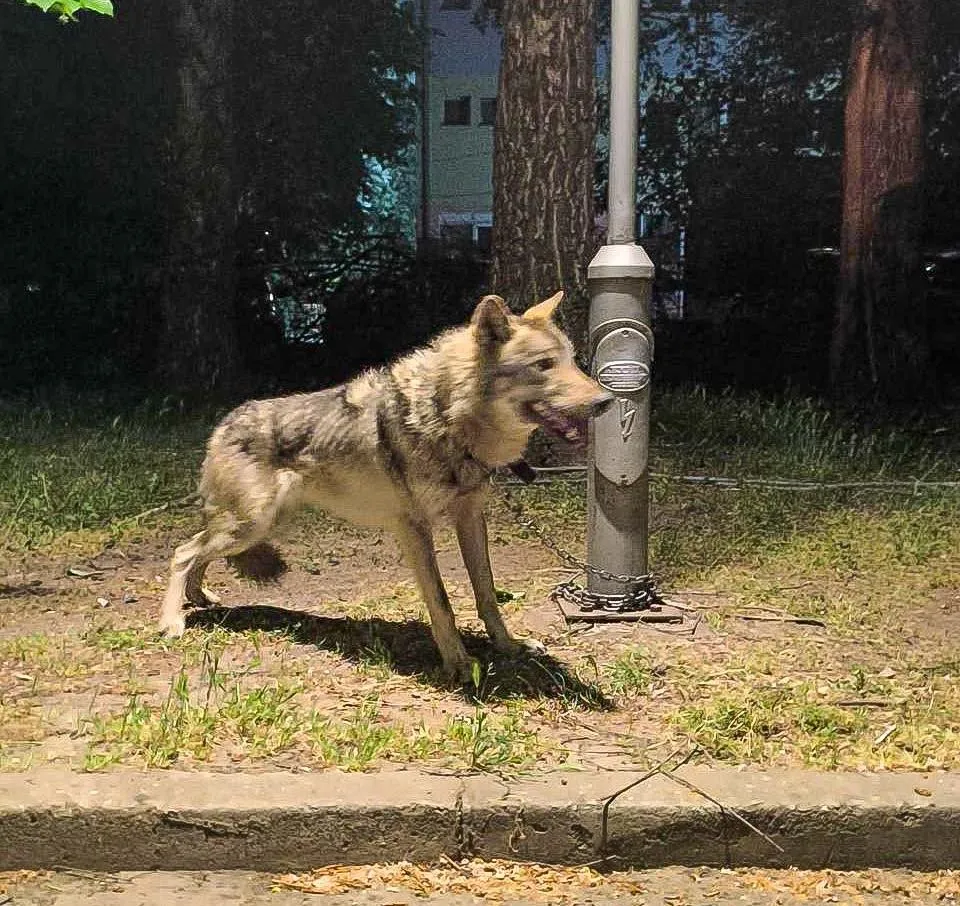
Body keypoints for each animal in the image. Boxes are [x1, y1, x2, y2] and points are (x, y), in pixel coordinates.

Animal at [159, 291, 613, 680]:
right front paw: (459, 665)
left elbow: (486, 593)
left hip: (259, 526)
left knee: (197, 550)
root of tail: (223, 423)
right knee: (183, 551)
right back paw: (172, 621)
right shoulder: (413, 528)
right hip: (252, 525)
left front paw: (509, 647)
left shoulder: (470, 517)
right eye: (544, 365)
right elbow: (442, 603)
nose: (606, 401)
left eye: (573, 361)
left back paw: (199, 599)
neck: (447, 419)